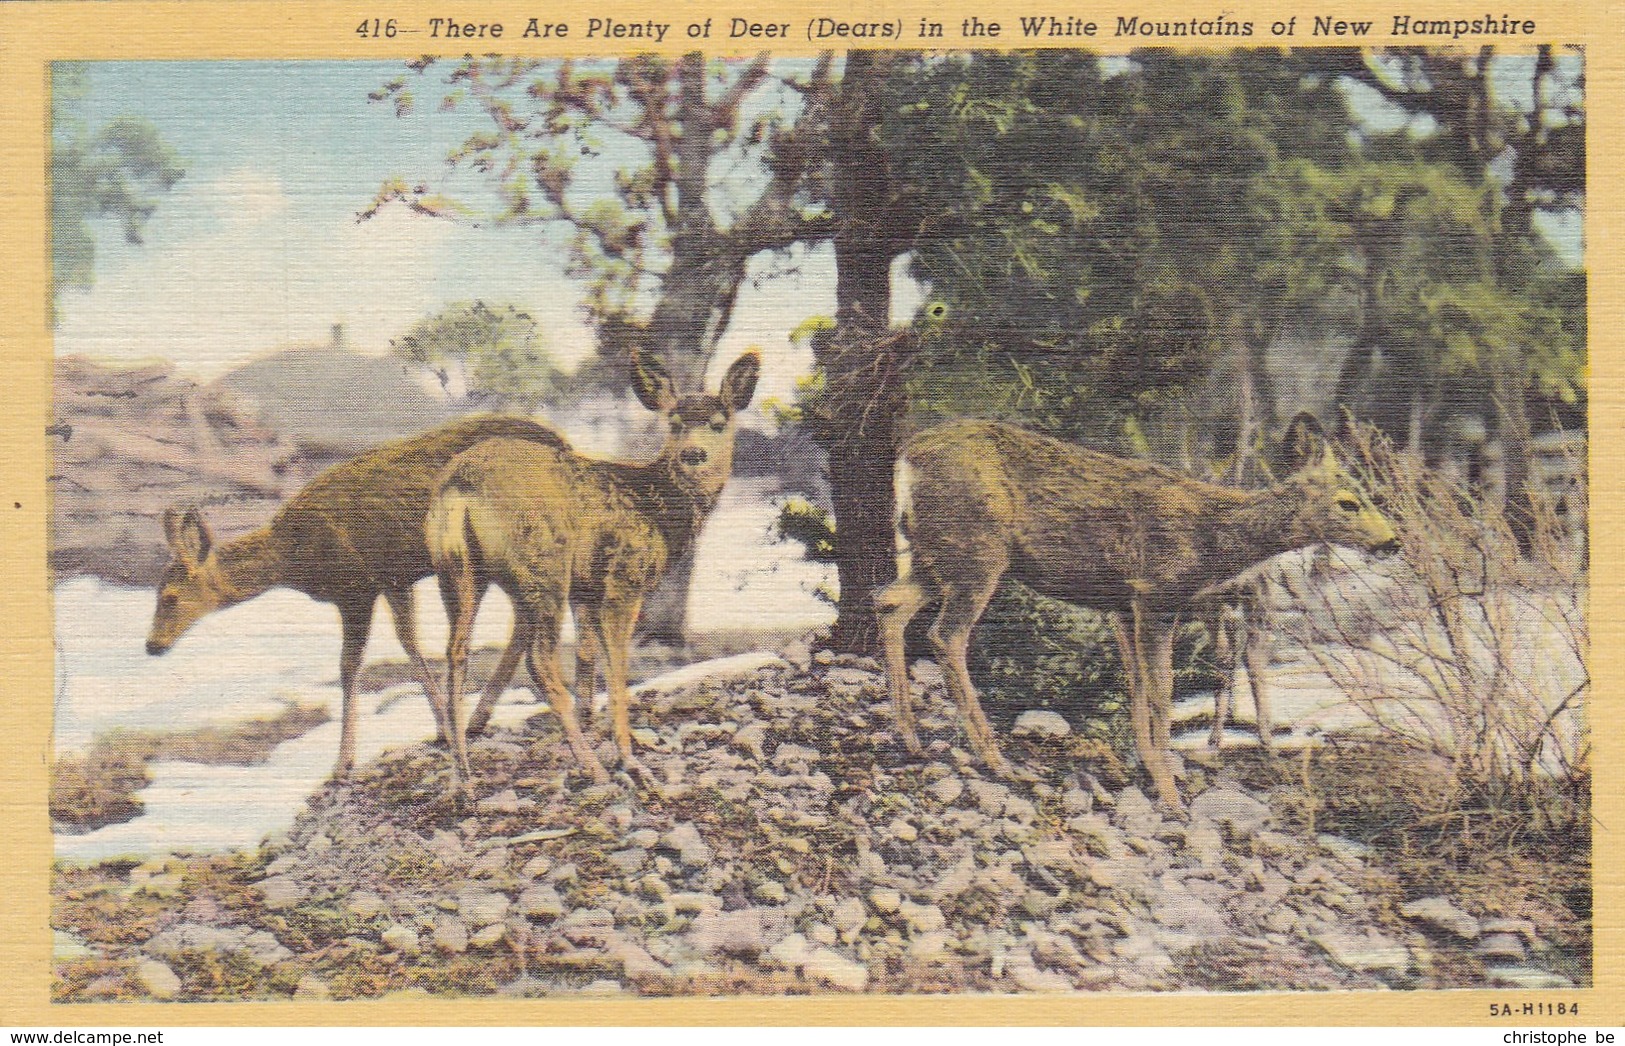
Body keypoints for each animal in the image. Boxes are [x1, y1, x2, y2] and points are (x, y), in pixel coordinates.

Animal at [146, 410, 575, 776]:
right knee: (522, 617)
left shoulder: (355, 588)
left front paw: (343, 762)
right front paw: (441, 728)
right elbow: (409, 643)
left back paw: (480, 718)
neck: (293, 556)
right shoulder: (392, 579)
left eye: (169, 596)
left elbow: (350, 666)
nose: (152, 645)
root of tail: (566, 444)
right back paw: (477, 719)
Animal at [429, 347, 763, 789]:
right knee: (539, 661)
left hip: (460, 572)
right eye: (674, 424)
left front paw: (599, 726)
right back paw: (592, 767)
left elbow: (586, 655)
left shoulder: (585, 588)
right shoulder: (624, 578)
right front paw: (628, 756)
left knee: (456, 652)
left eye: (718, 423)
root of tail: (459, 485)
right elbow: (617, 669)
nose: (693, 454)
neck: (658, 506)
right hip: (544, 561)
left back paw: (462, 774)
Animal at [877, 412, 1397, 812]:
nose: (1392, 541)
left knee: (888, 604)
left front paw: (1148, 769)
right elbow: (1162, 691)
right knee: (946, 635)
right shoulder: (1156, 596)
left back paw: (910, 738)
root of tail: (907, 457)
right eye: (1349, 502)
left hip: (934, 556)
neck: (1214, 539)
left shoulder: (1124, 607)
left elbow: (1137, 687)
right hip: (977, 552)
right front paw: (1171, 793)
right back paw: (996, 759)